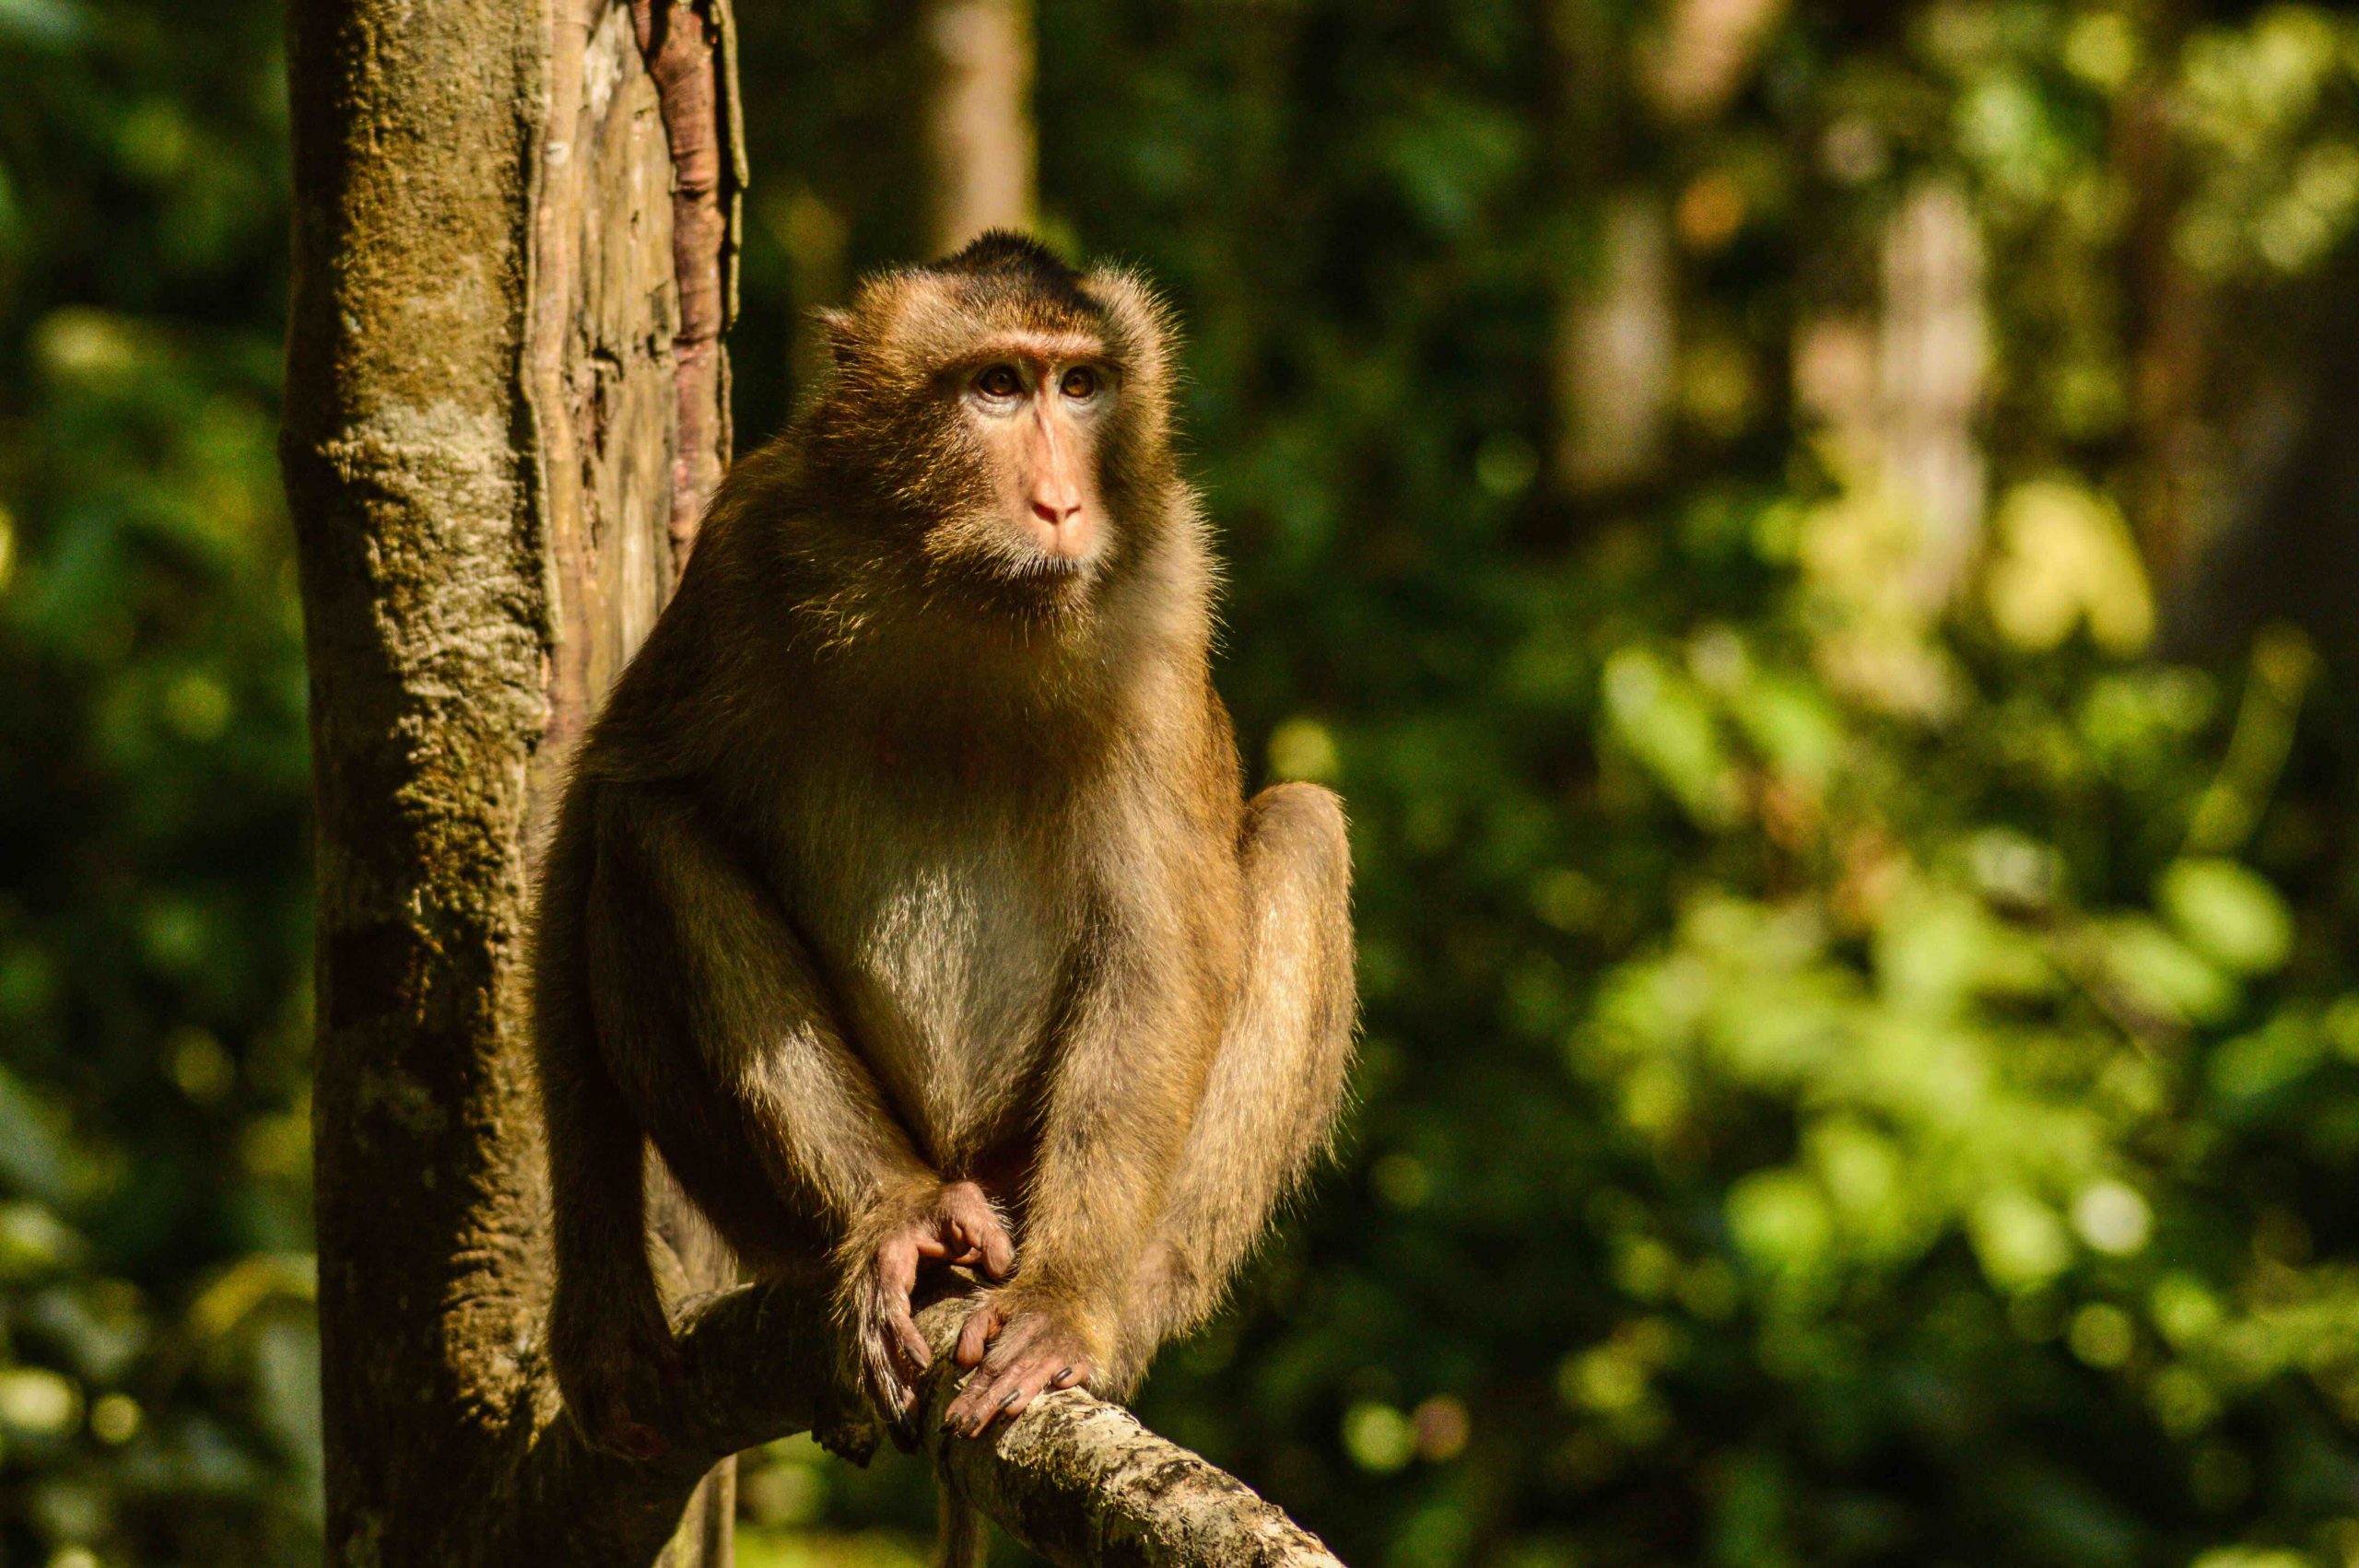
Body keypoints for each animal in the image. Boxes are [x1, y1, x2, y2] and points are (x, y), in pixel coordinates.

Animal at [529, 232, 1356, 1539]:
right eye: (997, 388)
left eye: (1082, 386)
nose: (1063, 502)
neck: (962, 587)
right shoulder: (743, 545)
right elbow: (600, 808)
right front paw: (605, 1315)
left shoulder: (1165, 603)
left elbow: (1159, 948)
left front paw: (1065, 1303)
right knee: (644, 833)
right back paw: (905, 1217)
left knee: (1304, 832)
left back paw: (1105, 1311)